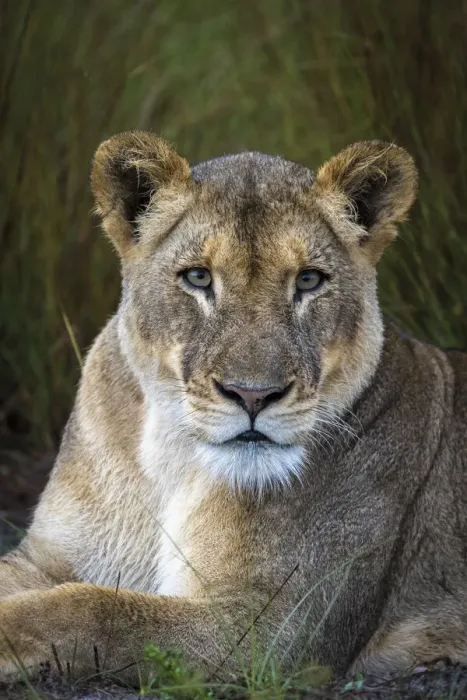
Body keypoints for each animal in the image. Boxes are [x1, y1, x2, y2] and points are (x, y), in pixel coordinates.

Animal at [1, 131, 467, 686]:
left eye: (308, 281)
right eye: (199, 278)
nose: (253, 396)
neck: (172, 460)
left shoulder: (275, 629)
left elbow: (91, 609)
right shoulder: (45, 558)